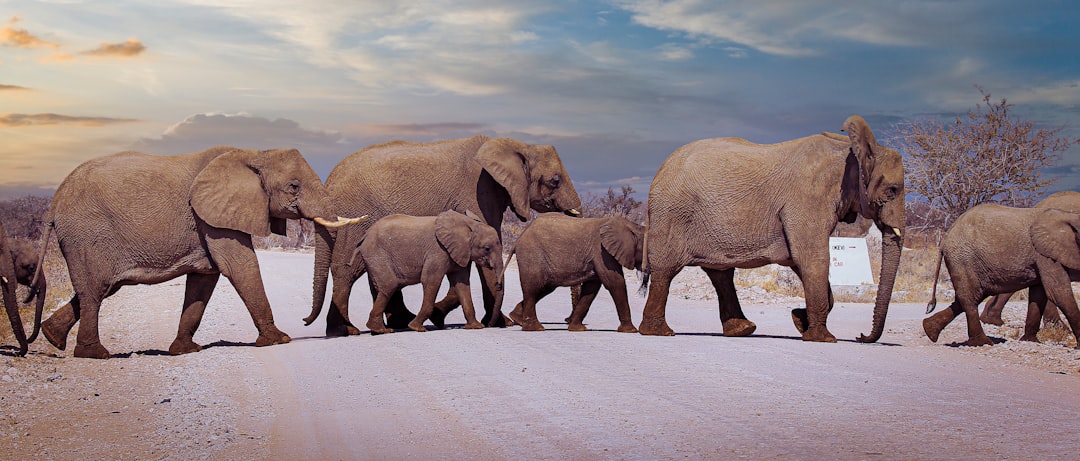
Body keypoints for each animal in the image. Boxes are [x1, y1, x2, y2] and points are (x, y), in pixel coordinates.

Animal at [37, 147, 363, 359]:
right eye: (294, 186)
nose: (306, 321)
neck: (254, 153)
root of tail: (55, 200)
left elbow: (205, 279)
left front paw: (184, 350)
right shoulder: (212, 218)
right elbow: (239, 265)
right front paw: (278, 340)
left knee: (101, 289)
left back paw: (52, 338)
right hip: (86, 235)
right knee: (96, 290)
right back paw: (95, 354)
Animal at [304, 210, 502, 334]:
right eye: (487, 248)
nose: (489, 325)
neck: (468, 224)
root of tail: (364, 237)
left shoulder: (459, 253)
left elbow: (462, 285)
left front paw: (475, 328)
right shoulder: (438, 251)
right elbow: (431, 281)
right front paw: (416, 328)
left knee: (382, 287)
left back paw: (379, 329)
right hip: (377, 254)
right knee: (389, 285)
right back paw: (381, 330)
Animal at [503, 213, 643, 333]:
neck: (631, 225)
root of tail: (519, 238)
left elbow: (591, 288)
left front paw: (577, 329)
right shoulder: (602, 251)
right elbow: (615, 282)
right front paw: (631, 331)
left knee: (544, 288)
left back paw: (517, 319)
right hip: (531, 254)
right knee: (533, 288)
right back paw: (535, 328)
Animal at [639, 115, 905, 342]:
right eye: (892, 190)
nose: (861, 336)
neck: (852, 150)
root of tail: (660, 171)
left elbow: (801, 260)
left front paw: (799, 320)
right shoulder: (808, 200)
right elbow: (812, 258)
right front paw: (822, 337)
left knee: (720, 274)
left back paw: (742, 330)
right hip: (673, 215)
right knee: (666, 270)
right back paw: (660, 332)